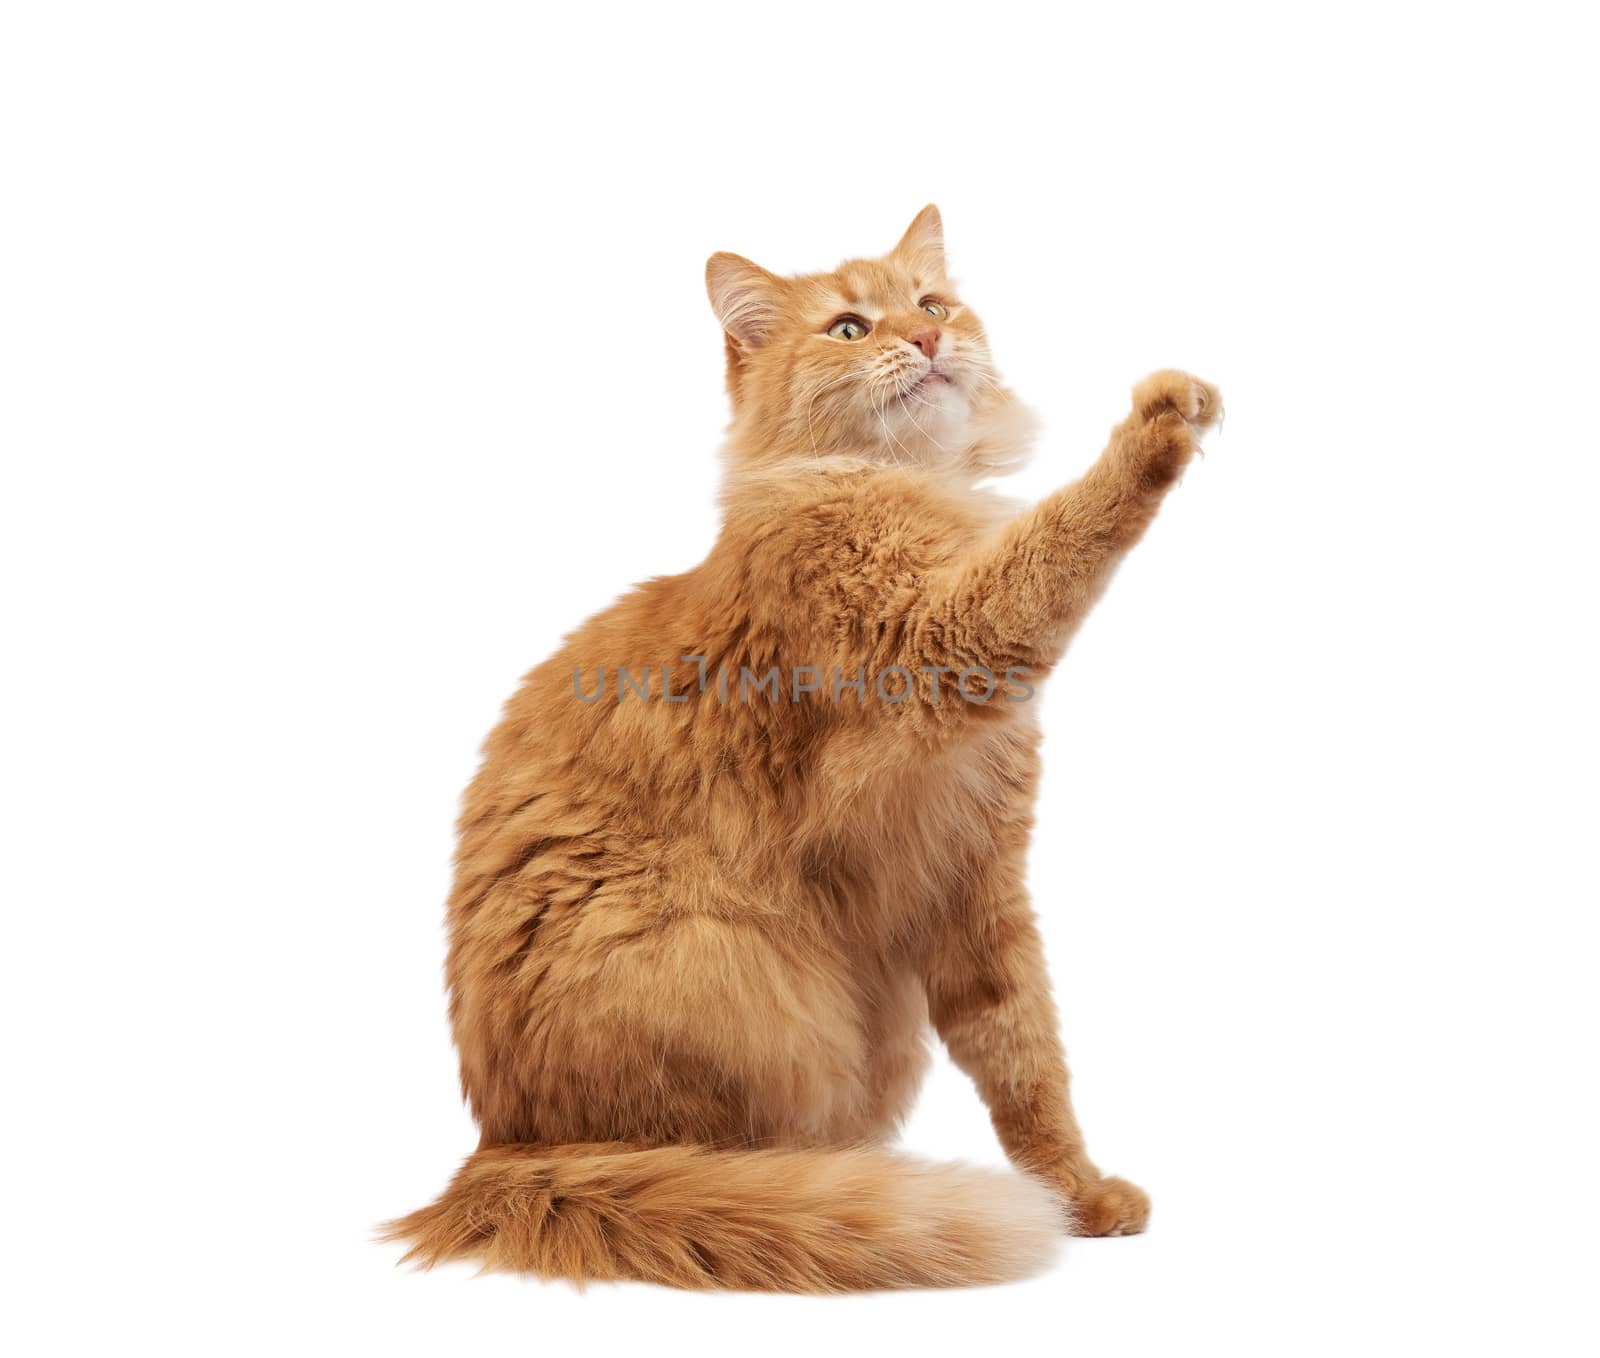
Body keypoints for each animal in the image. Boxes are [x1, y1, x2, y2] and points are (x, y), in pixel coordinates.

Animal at [390, 206, 1222, 1286]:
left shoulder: (978, 876)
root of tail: (503, 1151)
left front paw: (1077, 1191)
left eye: (931, 304)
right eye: (849, 328)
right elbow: (1061, 534)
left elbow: (1025, 1057)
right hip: (725, 975)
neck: (906, 488)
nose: (925, 342)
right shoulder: (940, 646)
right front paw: (1160, 422)